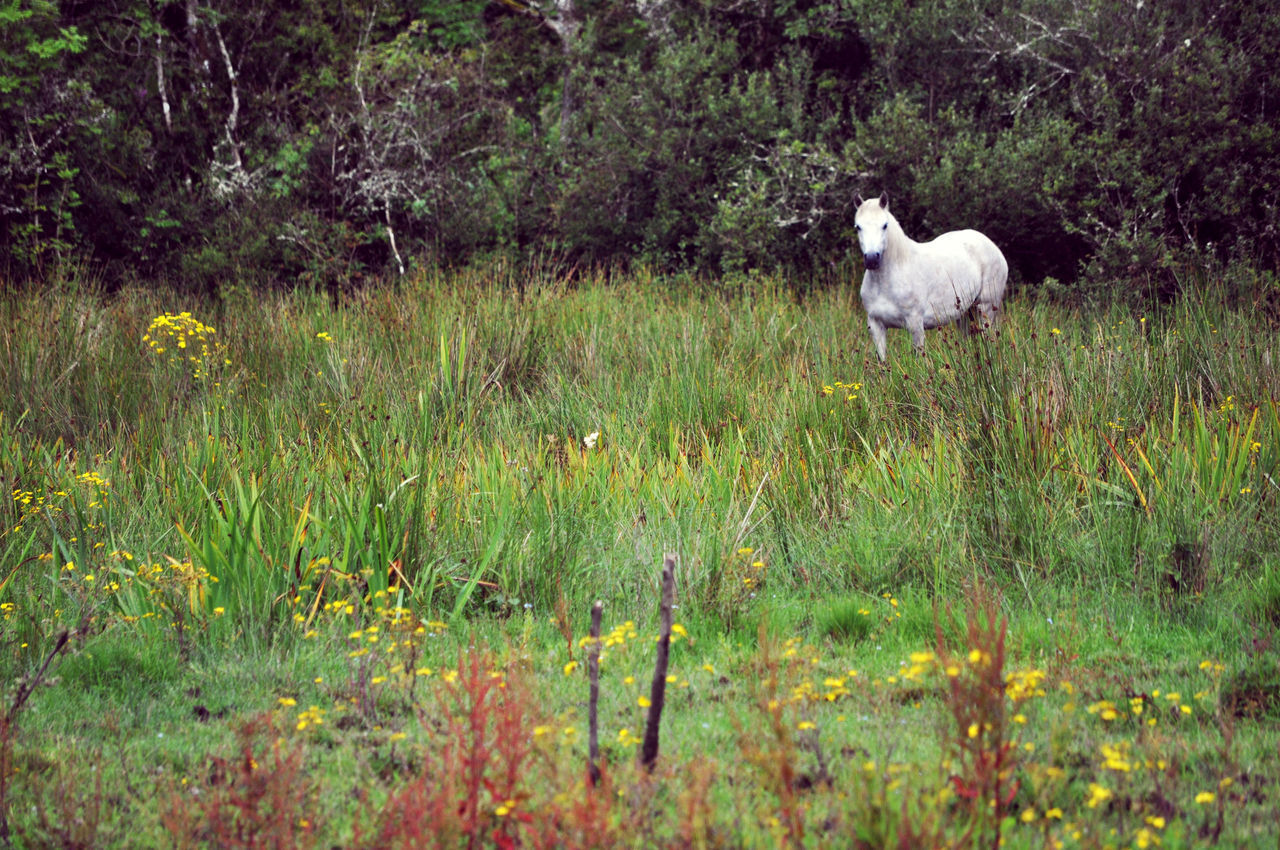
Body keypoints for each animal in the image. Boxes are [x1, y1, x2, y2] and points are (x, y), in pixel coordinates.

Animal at [855, 192, 1003, 360]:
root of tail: (992, 246)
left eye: (884, 225)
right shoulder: (876, 325)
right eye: (858, 227)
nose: (872, 259)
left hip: (986, 309)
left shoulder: (915, 324)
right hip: (965, 313)